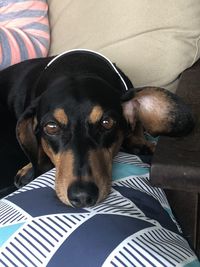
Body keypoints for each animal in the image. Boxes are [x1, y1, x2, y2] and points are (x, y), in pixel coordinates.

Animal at [0, 49, 194, 208]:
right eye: (51, 127)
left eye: (107, 123)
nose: (82, 197)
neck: (76, 67)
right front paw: (29, 169)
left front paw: (139, 142)